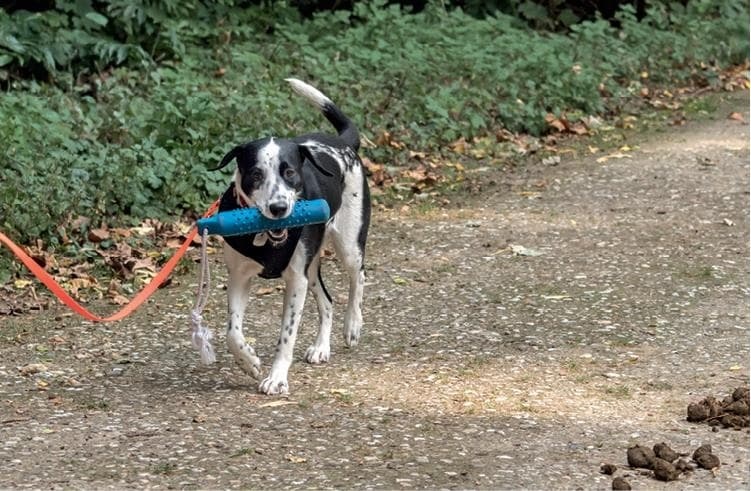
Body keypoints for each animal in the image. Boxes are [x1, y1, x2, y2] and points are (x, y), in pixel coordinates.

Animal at [213, 80, 372, 396]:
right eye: (256, 174)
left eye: (289, 172)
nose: (278, 208)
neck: (265, 237)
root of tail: (344, 144)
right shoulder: (239, 276)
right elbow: (232, 332)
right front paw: (248, 361)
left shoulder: (295, 280)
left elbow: (286, 337)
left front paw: (276, 378)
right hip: (311, 267)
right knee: (327, 300)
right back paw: (321, 347)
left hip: (348, 245)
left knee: (358, 277)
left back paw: (352, 324)